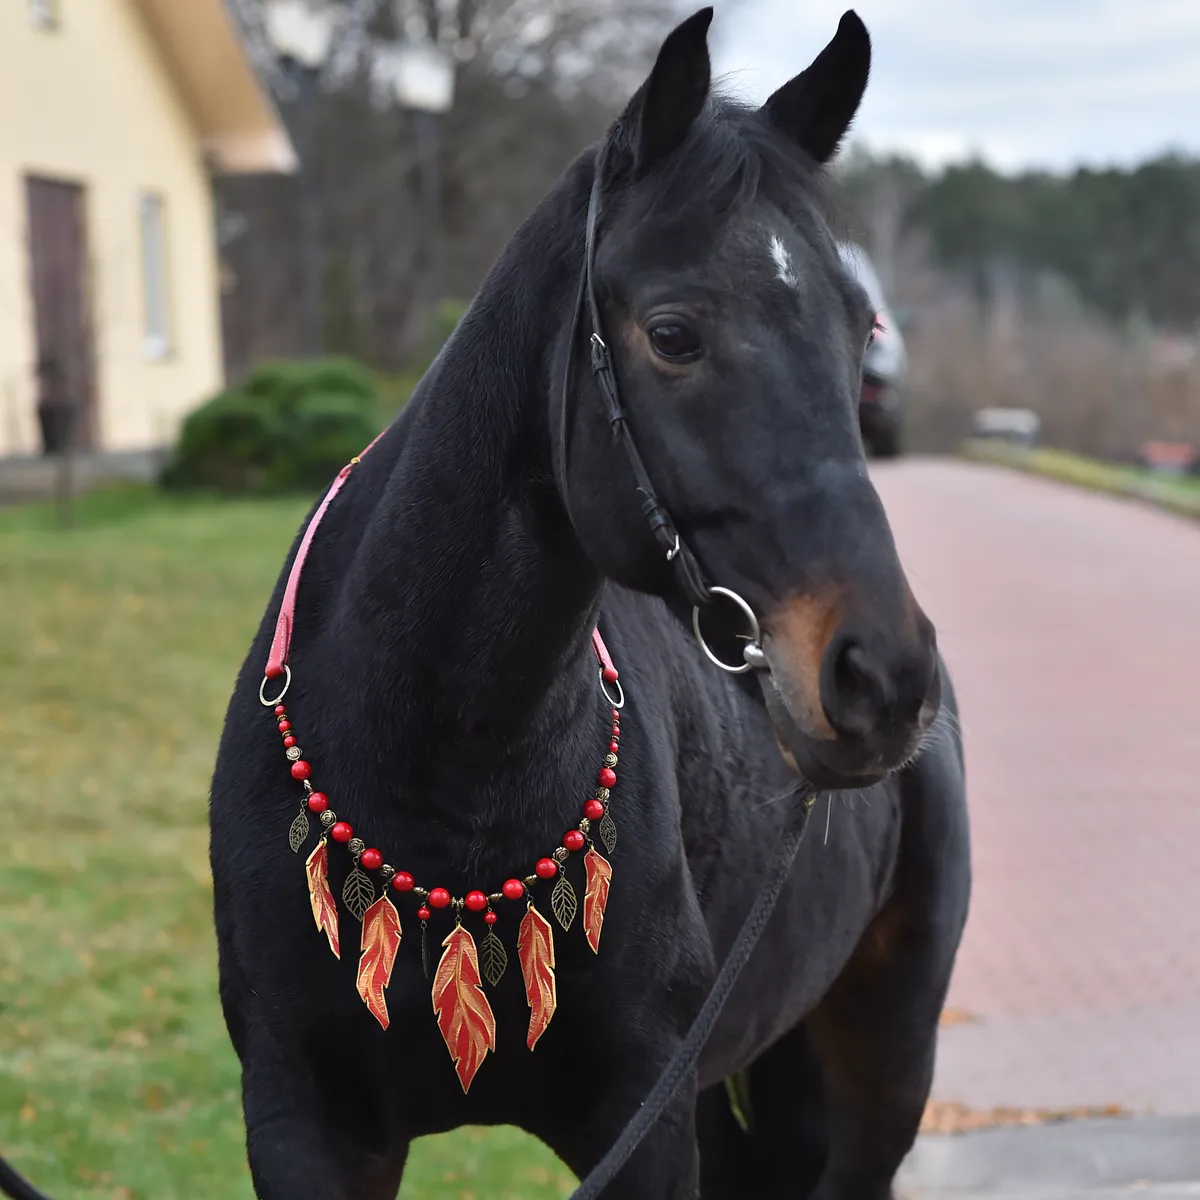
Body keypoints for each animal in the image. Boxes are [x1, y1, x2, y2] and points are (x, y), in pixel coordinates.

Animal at [207, 8, 970, 1199]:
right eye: (674, 333)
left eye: (861, 329)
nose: (881, 676)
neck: (437, 771)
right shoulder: (305, 1123)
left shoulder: (645, 1122)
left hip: (882, 1066)